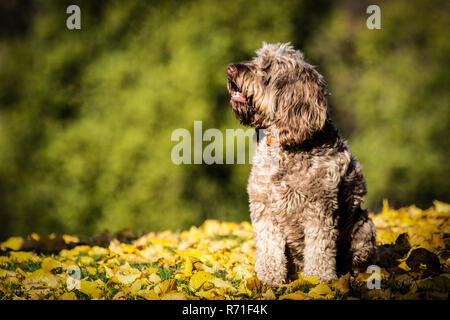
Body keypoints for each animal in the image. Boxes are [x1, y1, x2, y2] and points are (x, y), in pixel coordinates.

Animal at [225, 42, 376, 284]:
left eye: (267, 68)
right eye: (257, 60)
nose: (230, 68)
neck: (285, 146)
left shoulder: (320, 209)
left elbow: (319, 249)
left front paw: (318, 280)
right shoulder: (264, 207)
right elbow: (269, 248)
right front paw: (269, 279)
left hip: (364, 229)